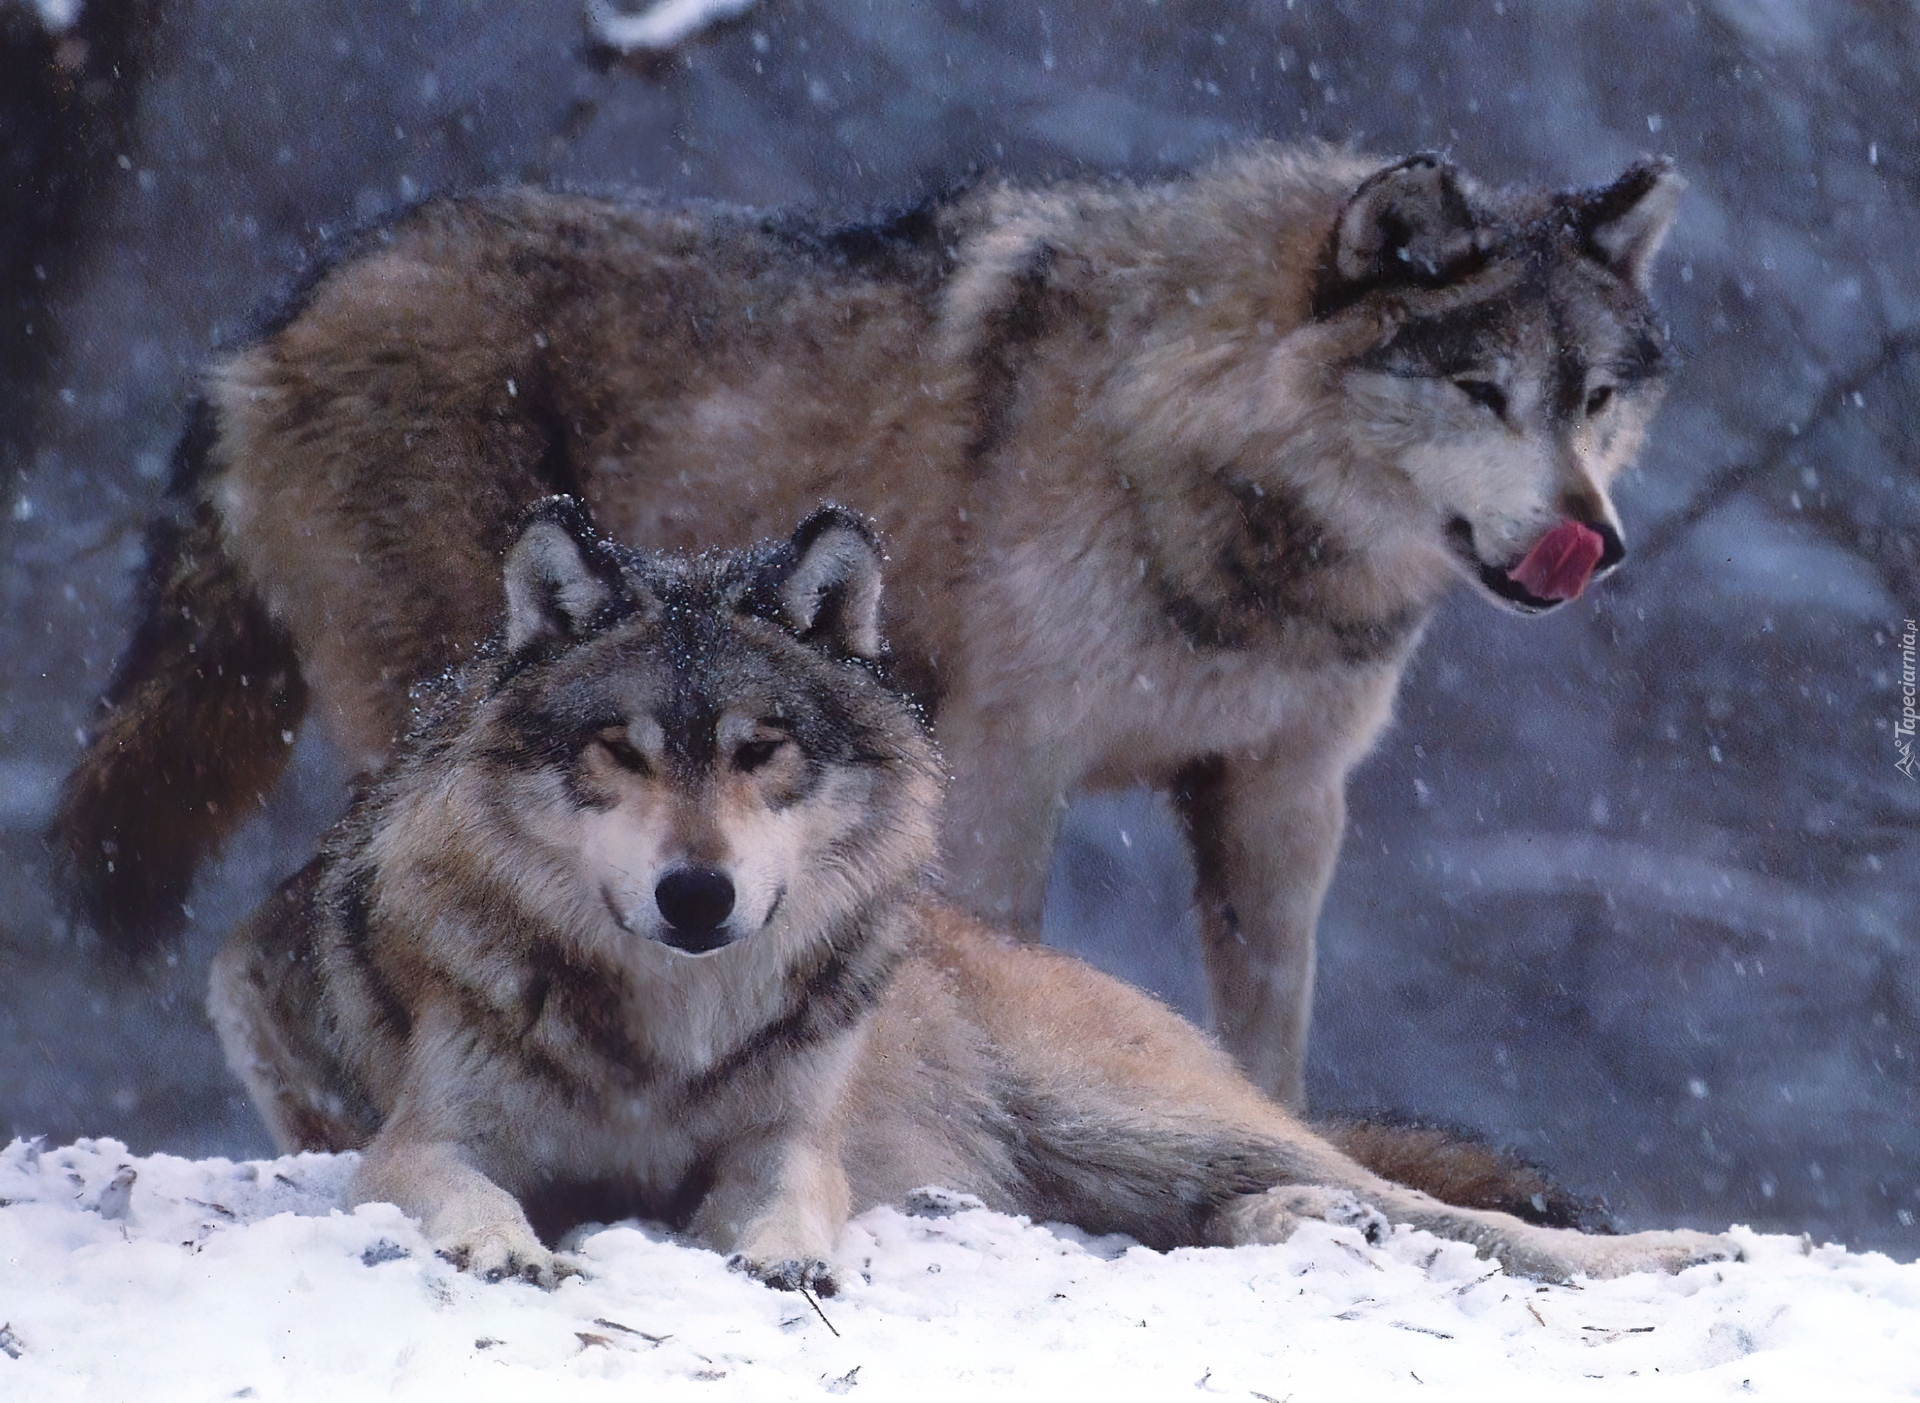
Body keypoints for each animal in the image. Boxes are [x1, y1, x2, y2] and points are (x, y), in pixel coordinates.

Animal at [60, 142, 1681, 1105]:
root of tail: (262, 333)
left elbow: (1268, 1036)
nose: (1593, 542)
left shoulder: (1281, 796)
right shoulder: (1011, 763)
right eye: (1481, 390)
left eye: (1596, 396)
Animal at [202, 506, 1735, 1297]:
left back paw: (1669, 1242)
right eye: (621, 751)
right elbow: (458, 1186)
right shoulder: (414, 1139)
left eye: (762, 748)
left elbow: (787, 1200)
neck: (666, 1027)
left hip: (1134, 1119)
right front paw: (498, 1239)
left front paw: (782, 1259)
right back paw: (1307, 1227)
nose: (696, 892)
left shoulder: (789, 1142)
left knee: (1429, 1198)